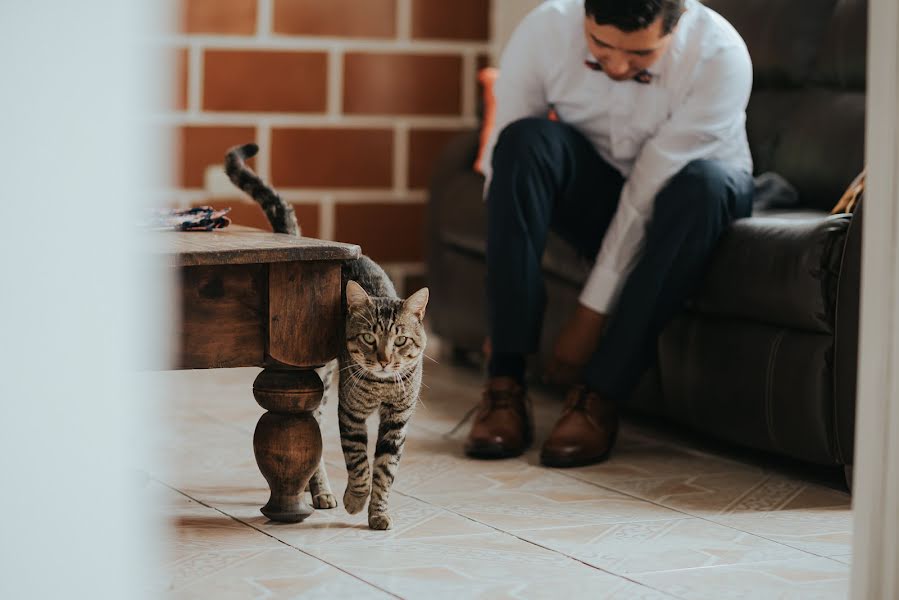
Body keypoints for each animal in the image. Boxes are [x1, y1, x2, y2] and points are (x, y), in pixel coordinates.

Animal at [225, 142, 428, 528]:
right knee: (312, 438)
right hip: (315, 377)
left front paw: (379, 513)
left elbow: (385, 468)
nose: (384, 360)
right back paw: (319, 490)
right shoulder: (351, 411)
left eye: (400, 340)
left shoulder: (399, 417)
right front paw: (356, 500)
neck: (381, 386)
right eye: (369, 338)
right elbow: (360, 463)